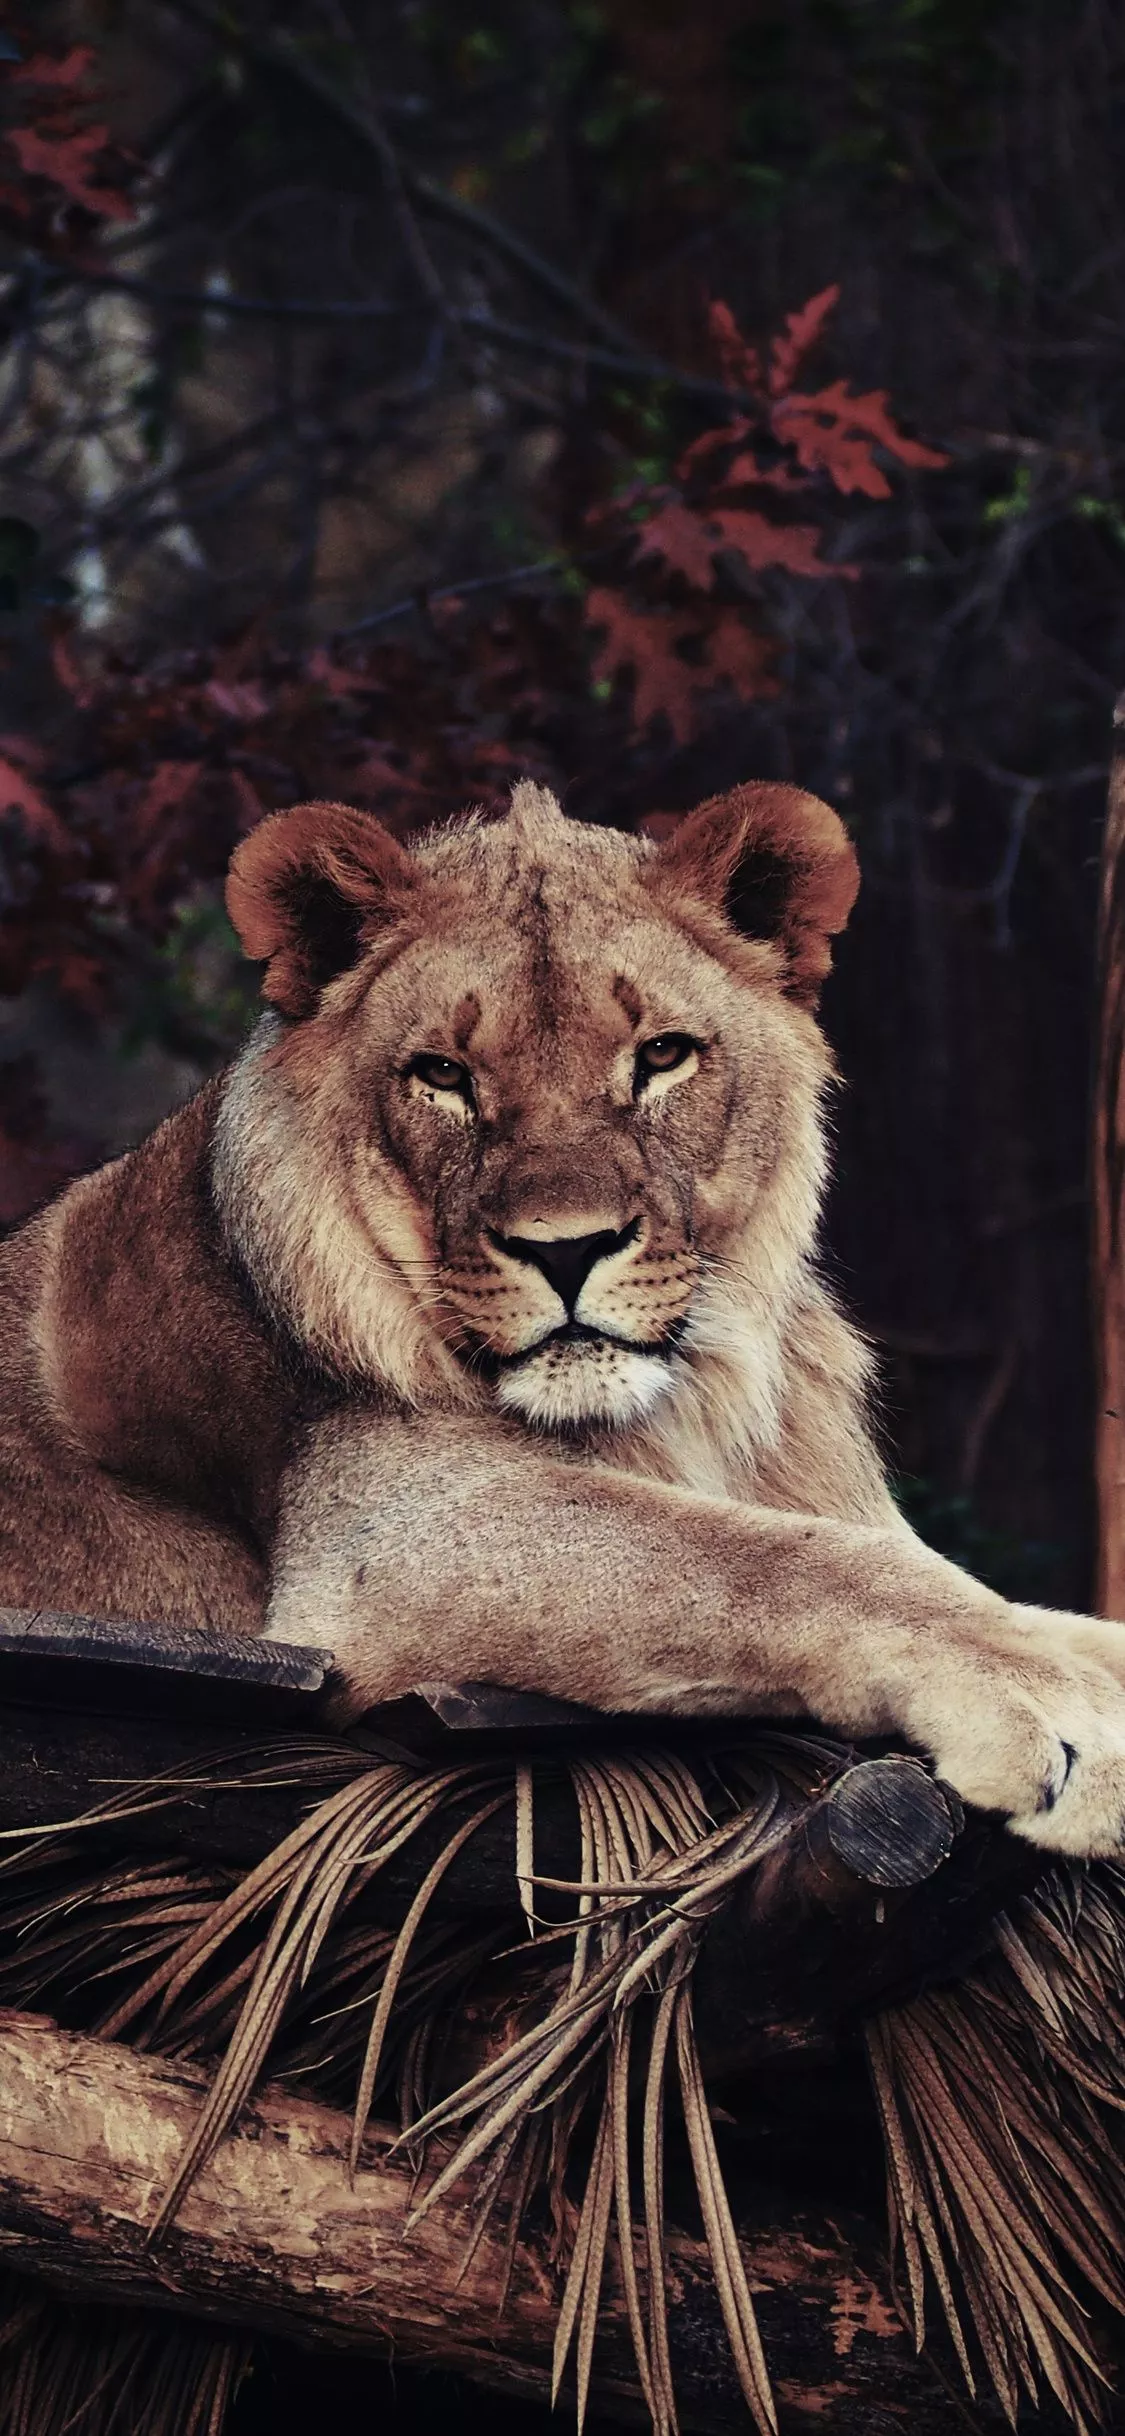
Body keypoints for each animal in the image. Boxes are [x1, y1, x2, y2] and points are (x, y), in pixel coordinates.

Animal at [2, 776, 1125, 1855]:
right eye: (443, 1075)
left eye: (662, 1056)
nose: (566, 1248)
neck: (687, 1405)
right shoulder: (379, 1546)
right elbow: (777, 1561)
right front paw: (1068, 1714)